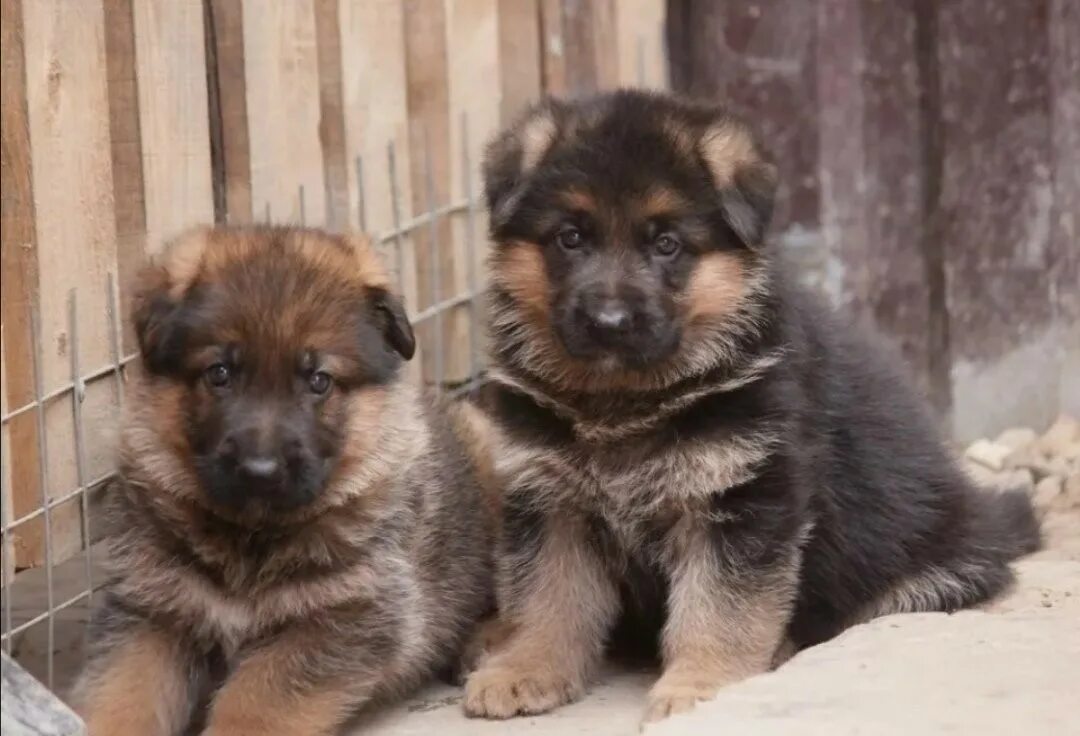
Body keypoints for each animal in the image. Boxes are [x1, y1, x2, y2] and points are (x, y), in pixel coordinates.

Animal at [75, 225, 494, 734]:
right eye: (220, 373)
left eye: (318, 380)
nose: (260, 470)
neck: (250, 540)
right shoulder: (151, 610)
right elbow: (123, 691)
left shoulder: (343, 617)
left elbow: (256, 701)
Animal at [462, 91, 1036, 721]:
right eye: (570, 237)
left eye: (667, 244)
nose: (609, 323)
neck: (624, 400)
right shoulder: (550, 503)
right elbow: (547, 598)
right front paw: (524, 667)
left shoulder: (743, 500)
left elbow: (721, 607)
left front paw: (700, 685)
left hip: (924, 569)